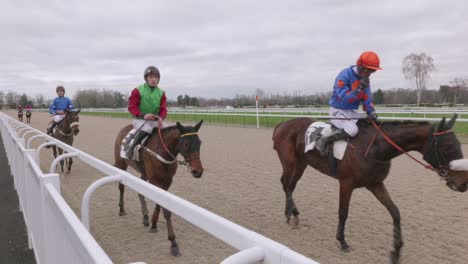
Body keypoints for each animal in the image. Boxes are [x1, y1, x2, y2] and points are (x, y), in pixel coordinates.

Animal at [114, 119, 204, 256]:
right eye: (186, 144)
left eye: (199, 143)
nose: (197, 171)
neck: (162, 152)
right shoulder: (155, 180)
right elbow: (165, 210)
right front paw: (173, 243)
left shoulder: (166, 181)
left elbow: (159, 204)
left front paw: (153, 224)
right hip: (121, 163)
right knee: (121, 186)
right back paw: (122, 209)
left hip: (144, 172)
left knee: (140, 192)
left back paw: (145, 217)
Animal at [272, 115, 468, 264]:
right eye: (448, 146)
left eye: (459, 145)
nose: (463, 183)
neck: (375, 148)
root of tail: (282, 124)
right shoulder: (346, 183)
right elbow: (343, 212)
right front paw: (342, 241)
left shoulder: (375, 183)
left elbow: (395, 212)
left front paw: (396, 251)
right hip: (290, 162)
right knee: (287, 185)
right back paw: (291, 215)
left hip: (302, 163)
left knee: (290, 185)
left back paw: (293, 213)